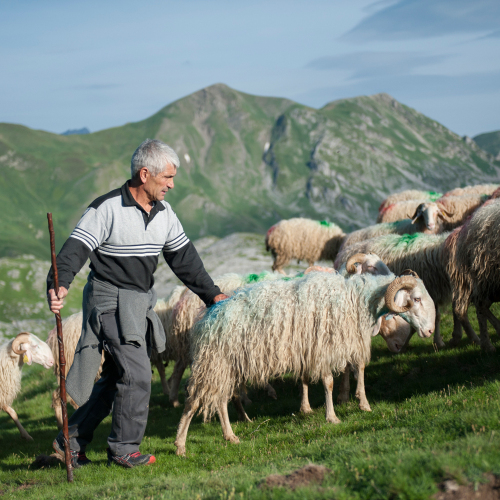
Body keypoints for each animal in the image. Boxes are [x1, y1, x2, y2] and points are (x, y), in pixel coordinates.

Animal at [174, 272, 436, 456]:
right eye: (416, 299)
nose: (430, 331)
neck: (356, 300)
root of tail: (208, 318)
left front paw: (357, 405)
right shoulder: (323, 349)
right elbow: (328, 382)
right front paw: (332, 417)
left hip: (226, 366)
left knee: (219, 400)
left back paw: (230, 436)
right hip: (213, 362)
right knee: (193, 400)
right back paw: (180, 445)